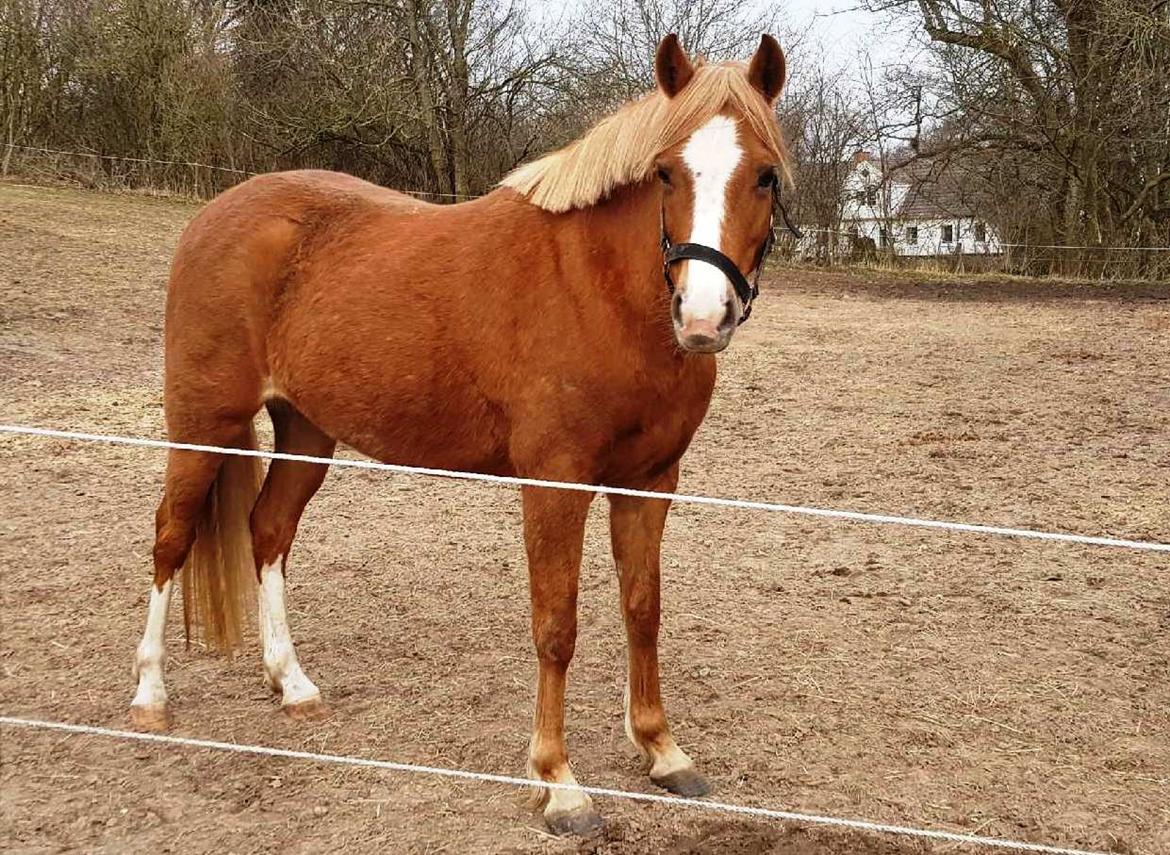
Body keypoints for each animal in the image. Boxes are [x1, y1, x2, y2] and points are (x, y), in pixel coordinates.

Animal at [129, 33, 790, 834]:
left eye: (764, 176)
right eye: (666, 172)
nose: (702, 316)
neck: (598, 290)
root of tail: (216, 213)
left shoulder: (651, 481)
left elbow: (643, 609)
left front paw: (662, 751)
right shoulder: (555, 483)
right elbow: (556, 624)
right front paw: (558, 783)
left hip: (307, 431)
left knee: (268, 530)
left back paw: (292, 684)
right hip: (205, 426)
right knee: (171, 536)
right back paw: (150, 696)